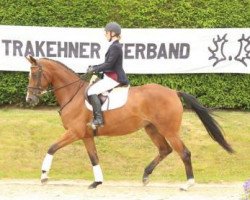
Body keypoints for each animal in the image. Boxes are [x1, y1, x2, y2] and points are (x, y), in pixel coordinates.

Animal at [25, 55, 234, 190]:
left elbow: (51, 148)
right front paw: (97, 182)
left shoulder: (74, 132)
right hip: (152, 129)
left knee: (184, 152)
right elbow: (94, 158)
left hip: (169, 130)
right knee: (164, 150)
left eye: (35, 74)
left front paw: (43, 175)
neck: (73, 95)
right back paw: (146, 176)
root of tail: (174, 92)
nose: (29, 99)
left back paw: (188, 183)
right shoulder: (86, 136)